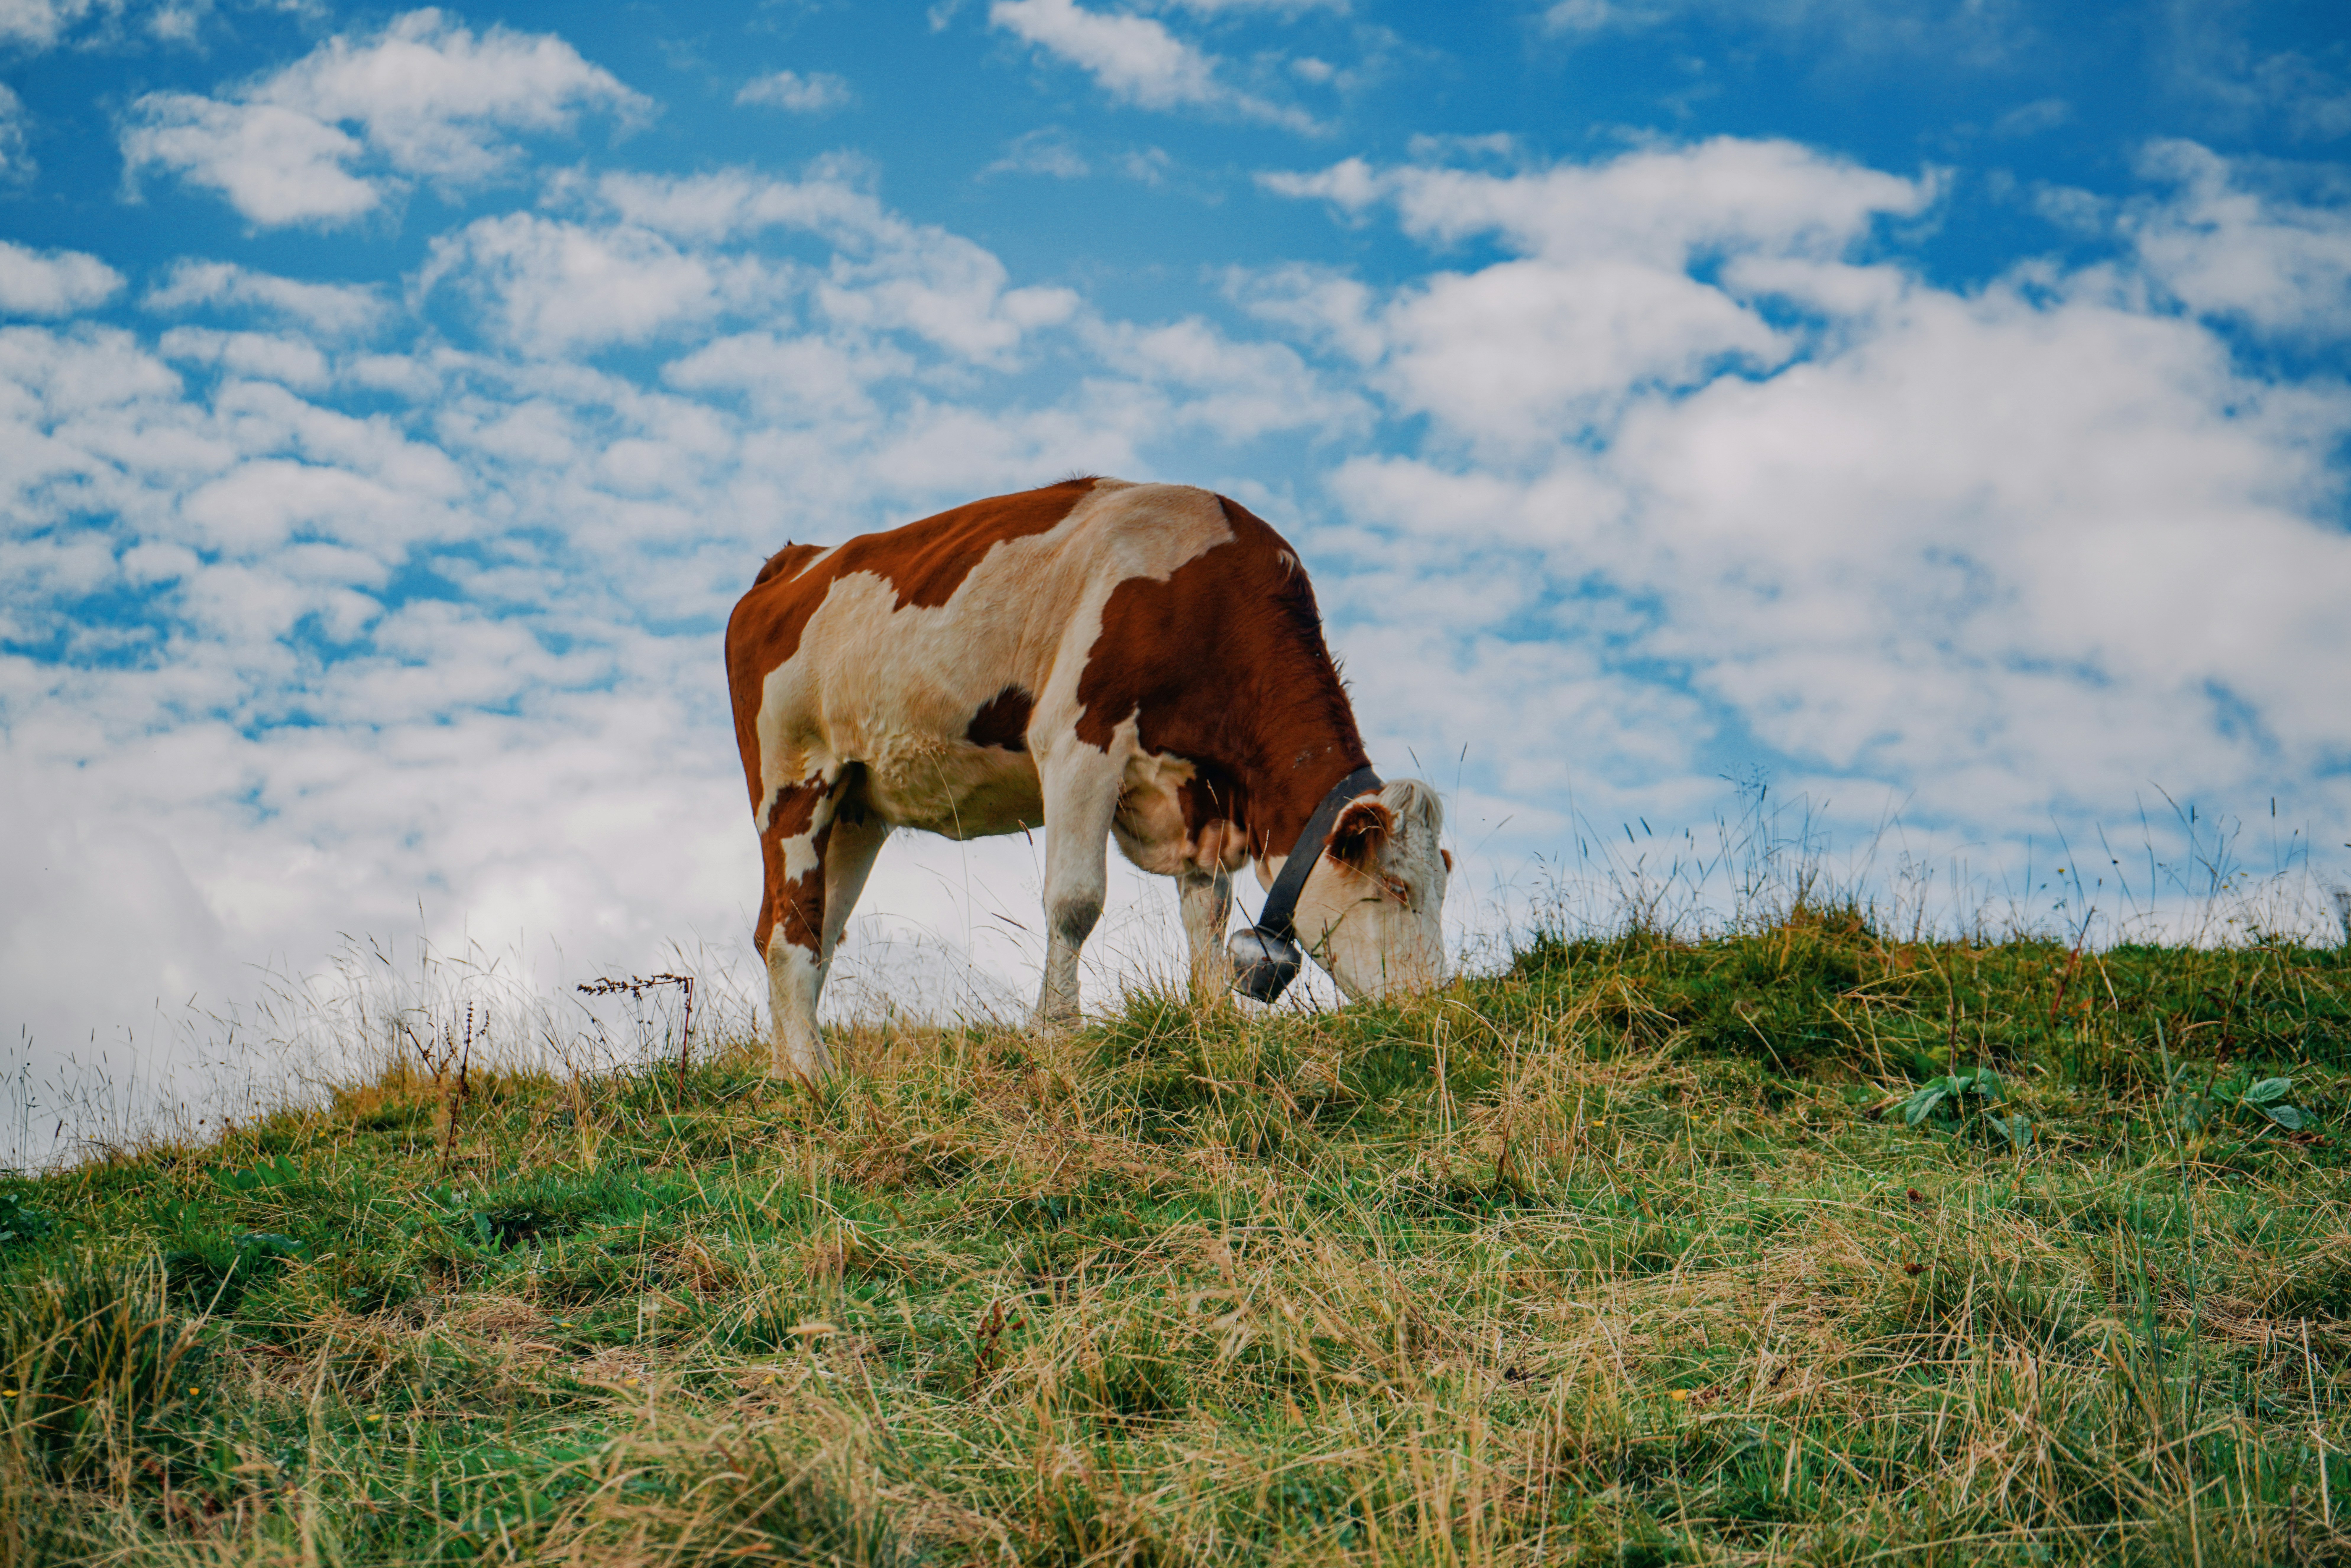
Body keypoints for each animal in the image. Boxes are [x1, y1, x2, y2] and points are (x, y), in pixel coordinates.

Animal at [724, 477, 1450, 1080]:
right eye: (1396, 887)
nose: (1434, 1009)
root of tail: (796, 560)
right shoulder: (1078, 740)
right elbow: (1074, 902)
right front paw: (1058, 1033)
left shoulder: (1203, 801)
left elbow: (1207, 919)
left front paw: (1212, 1021)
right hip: (791, 779)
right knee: (787, 928)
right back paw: (811, 1079)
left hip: (855, 807)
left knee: (816, 927)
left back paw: (797, 1068)